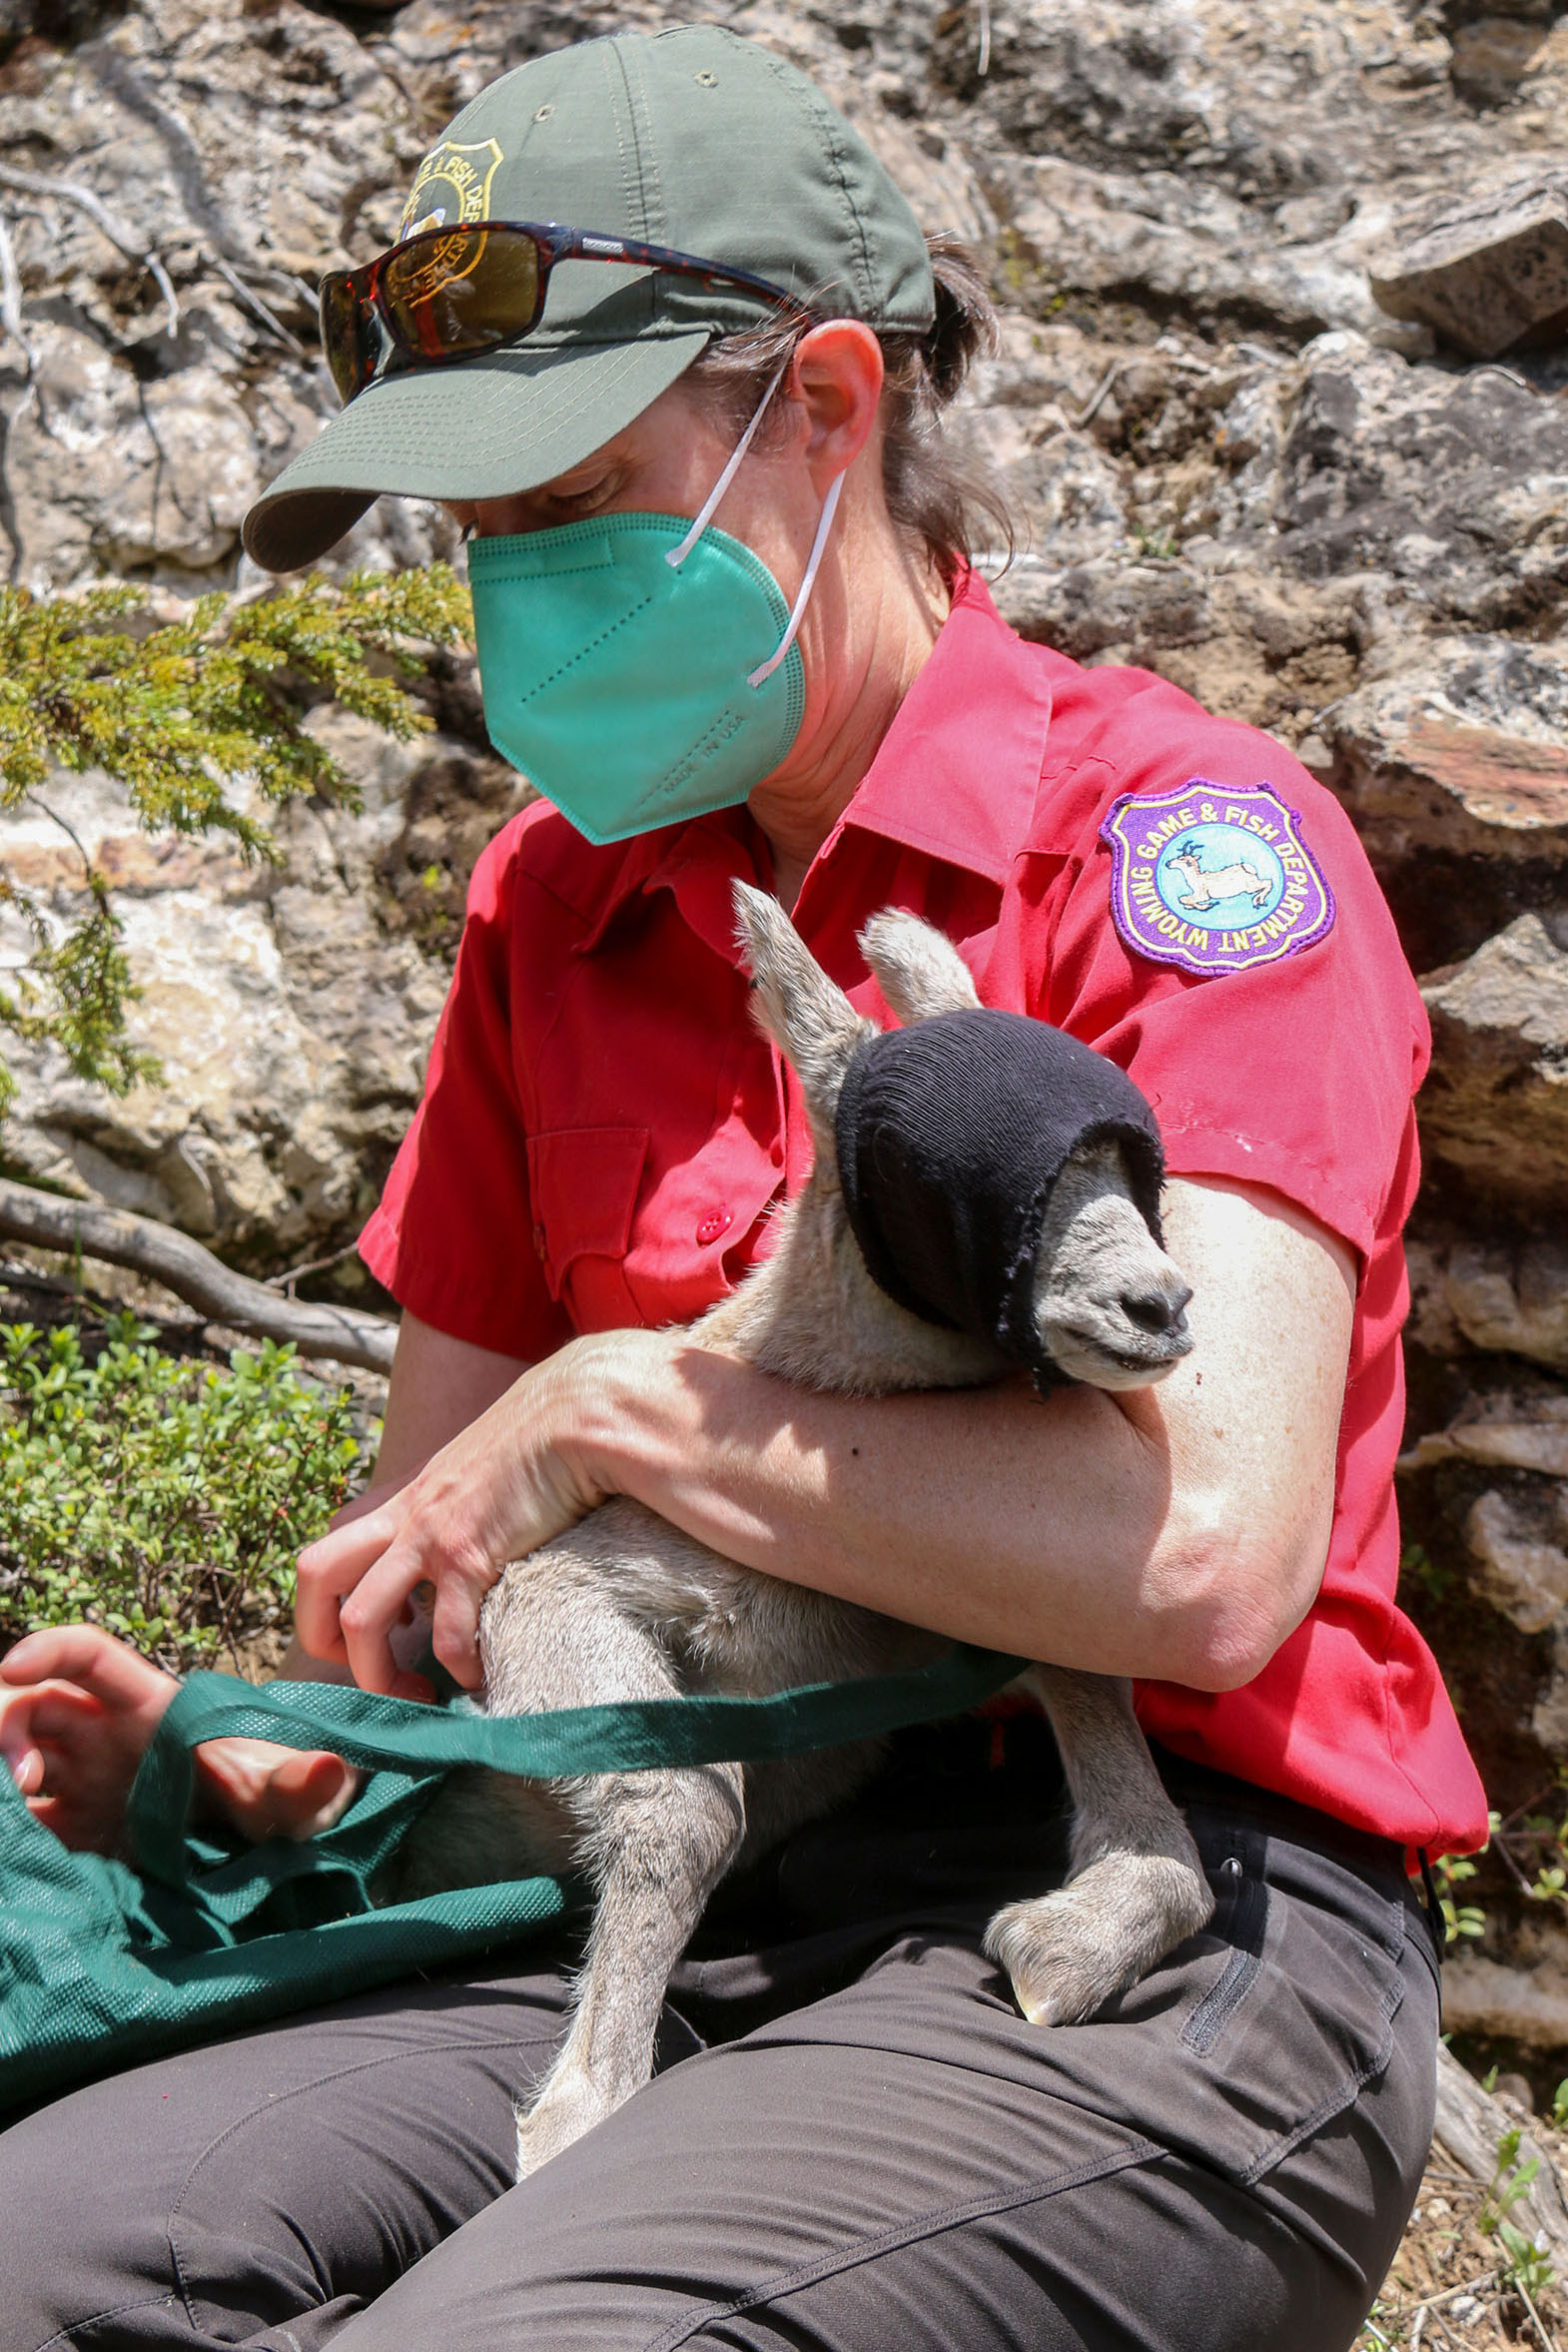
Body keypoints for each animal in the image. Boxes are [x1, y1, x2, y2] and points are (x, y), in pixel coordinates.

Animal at [401, 889, 1212, 2173]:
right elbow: (686, 1800)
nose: (1160, 1305)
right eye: (932, 1174)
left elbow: (1150, 1817)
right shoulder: (548, 1587)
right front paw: (575, 2122)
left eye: (1134, 1168)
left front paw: (1061, 1951)